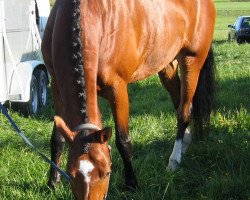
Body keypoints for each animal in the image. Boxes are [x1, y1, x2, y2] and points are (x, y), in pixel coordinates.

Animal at [42, 0, 216, 199]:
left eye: (106, 173)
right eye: (70, 174)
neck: (88, 16)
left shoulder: (118, 89)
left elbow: (123, 141)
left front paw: (131, 183)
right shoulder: (56, 86)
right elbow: (57, 138)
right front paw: (52, 183)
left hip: (192, 61)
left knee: (184, 112)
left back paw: (174, 160)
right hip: (167, 65)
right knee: (179, 102)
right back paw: (184, 144)